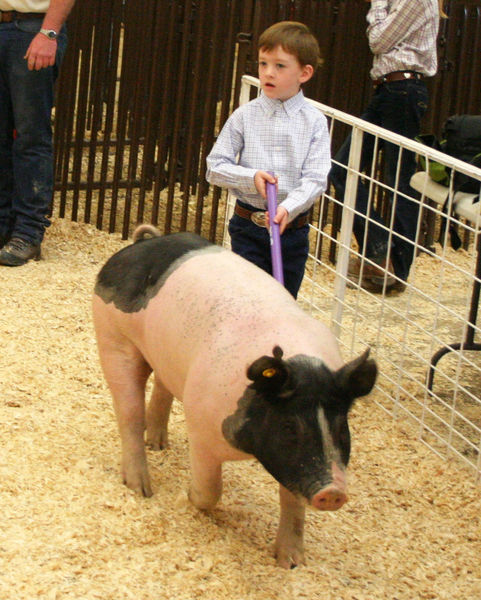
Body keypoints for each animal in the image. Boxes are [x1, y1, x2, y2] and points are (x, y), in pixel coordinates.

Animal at [91, 224, 376, 568]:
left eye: (340, 427)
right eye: (289, 426)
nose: (333, 492)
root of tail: (138, 247)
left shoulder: (294, 465)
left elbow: (292, 501)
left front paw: (291, 562)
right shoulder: (201, 429)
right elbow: (210, 490)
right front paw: (189, 497)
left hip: (164, 356)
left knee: (162, 387)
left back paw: (158, 444)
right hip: (113, 337)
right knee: (129, 412)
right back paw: (141, 488)